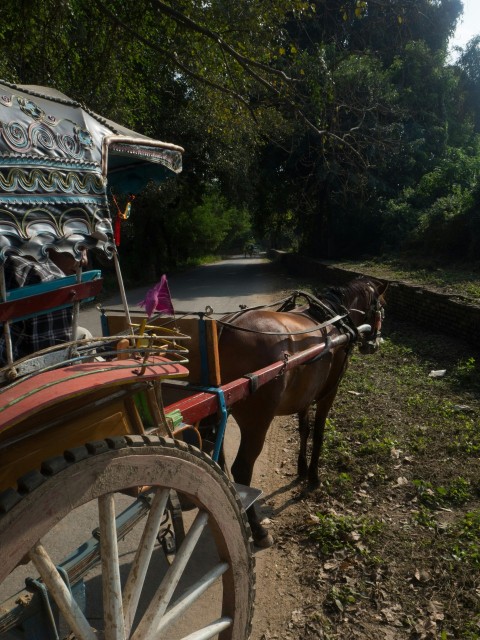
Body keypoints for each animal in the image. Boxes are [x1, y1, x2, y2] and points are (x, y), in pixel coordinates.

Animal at [217, 276, 388, 547]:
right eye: (381, 306)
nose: (374, 344)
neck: (335, 318)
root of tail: (226, 329)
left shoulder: (305, 394)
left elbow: (304, 430)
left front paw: (301, 469)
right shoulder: (329, 391)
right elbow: (318, 433)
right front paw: (314, 477)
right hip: (257, 421)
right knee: (241, 469)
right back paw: (258, 530)